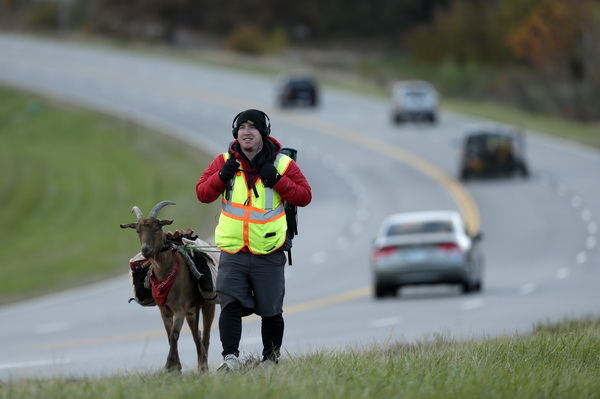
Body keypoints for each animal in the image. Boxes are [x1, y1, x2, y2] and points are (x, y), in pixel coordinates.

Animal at [120, 202, 216, 374]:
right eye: (138, 230)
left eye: (156, 228)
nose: (145, 250)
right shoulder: (164, 310)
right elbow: (169, 334)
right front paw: (175, 368)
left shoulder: (179, 308)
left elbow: (175, 334)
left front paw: (169, 366)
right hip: (191, 311)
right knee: (196, 334)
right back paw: (200, 365)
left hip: (207, 303)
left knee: (206, 335)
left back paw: (203, 366)